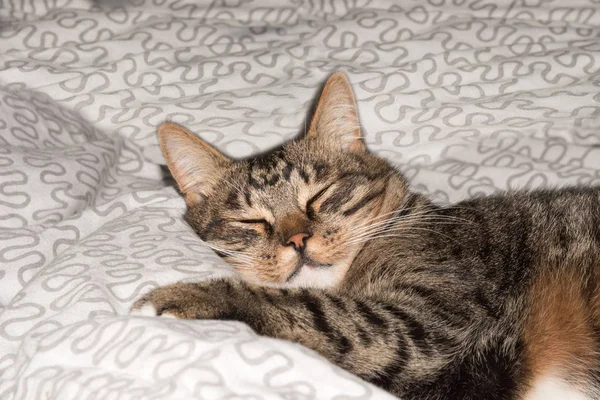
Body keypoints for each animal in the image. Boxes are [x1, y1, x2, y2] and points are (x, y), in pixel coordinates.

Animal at [134, 72, 600, 400]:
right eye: (252, 222)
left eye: (319, 196)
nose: (297, 240)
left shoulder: (424, 330)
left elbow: (311, 310)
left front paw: (182, 296)